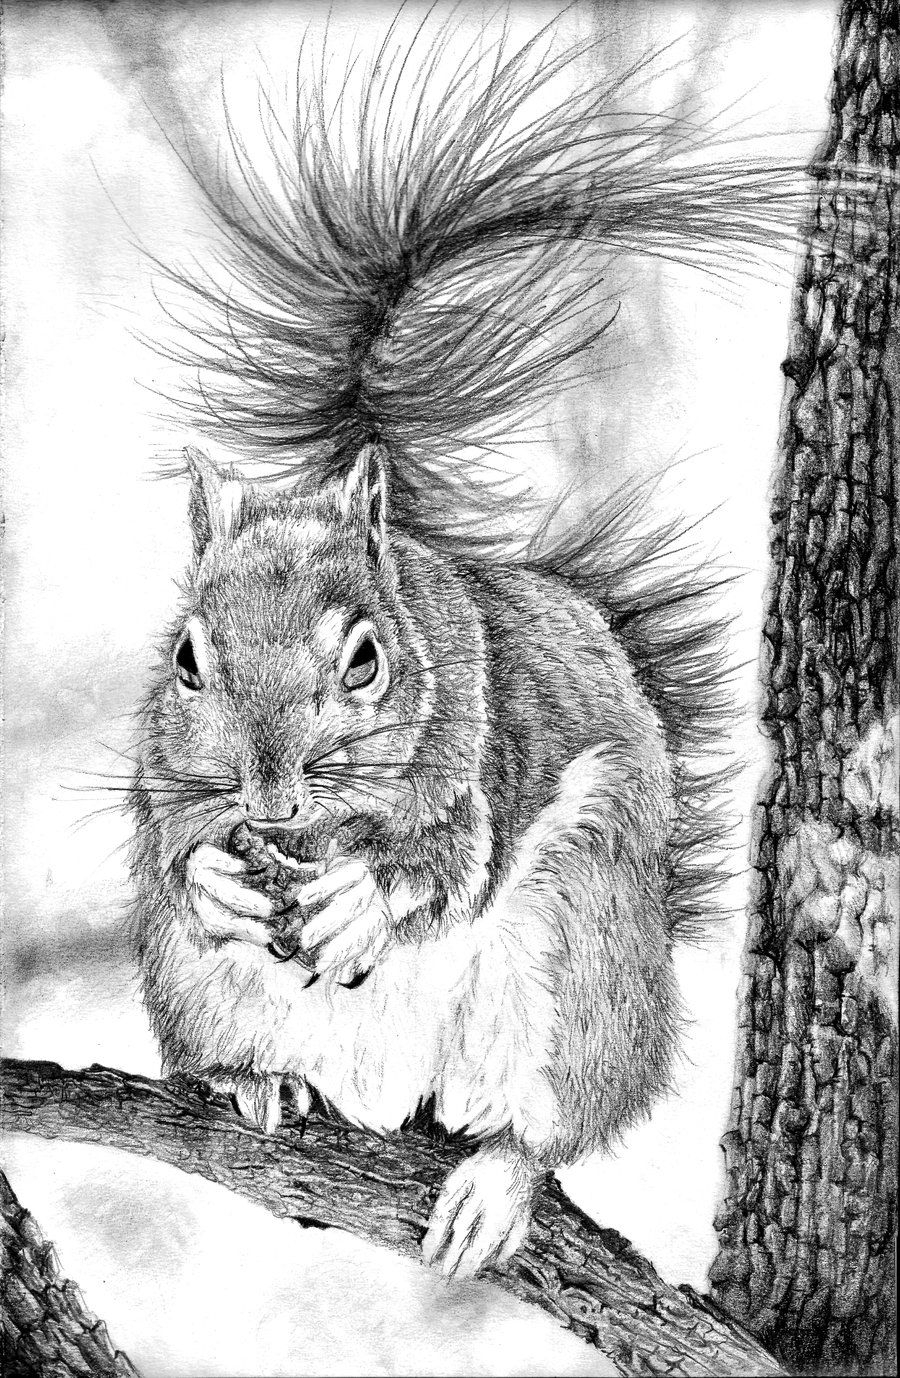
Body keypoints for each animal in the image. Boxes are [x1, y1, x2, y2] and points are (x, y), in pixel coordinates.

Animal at [127, 16, 800, 1278]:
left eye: (366, 660)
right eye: (186, 659)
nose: (271, 799)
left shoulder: (485, 749)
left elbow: (453, 864)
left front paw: (363, 899)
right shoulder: (161, 778)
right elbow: (167, 848)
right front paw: (214, 880)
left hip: (571, 960)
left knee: (542, 1120)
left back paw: (493, 1179)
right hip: (203, 994)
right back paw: (257, 1084)